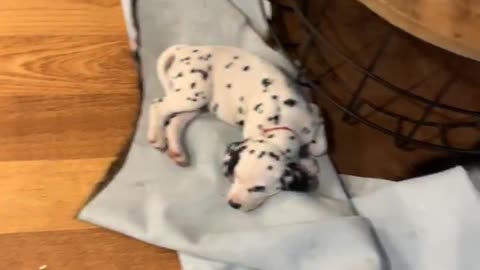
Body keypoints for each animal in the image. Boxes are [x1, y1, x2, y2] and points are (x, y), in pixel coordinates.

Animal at [147, 44, 326, 211]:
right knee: (158, 105)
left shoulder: (313, 114)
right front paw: (309, 164)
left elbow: (319, 147)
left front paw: (309, 161)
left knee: (175, 122)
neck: (283, 119)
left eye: (259, 188)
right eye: (236, 176)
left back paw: (178, 152)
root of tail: (186, 48)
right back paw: (157, 136)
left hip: (199, 104)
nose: (233, 204)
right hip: (193, 94)